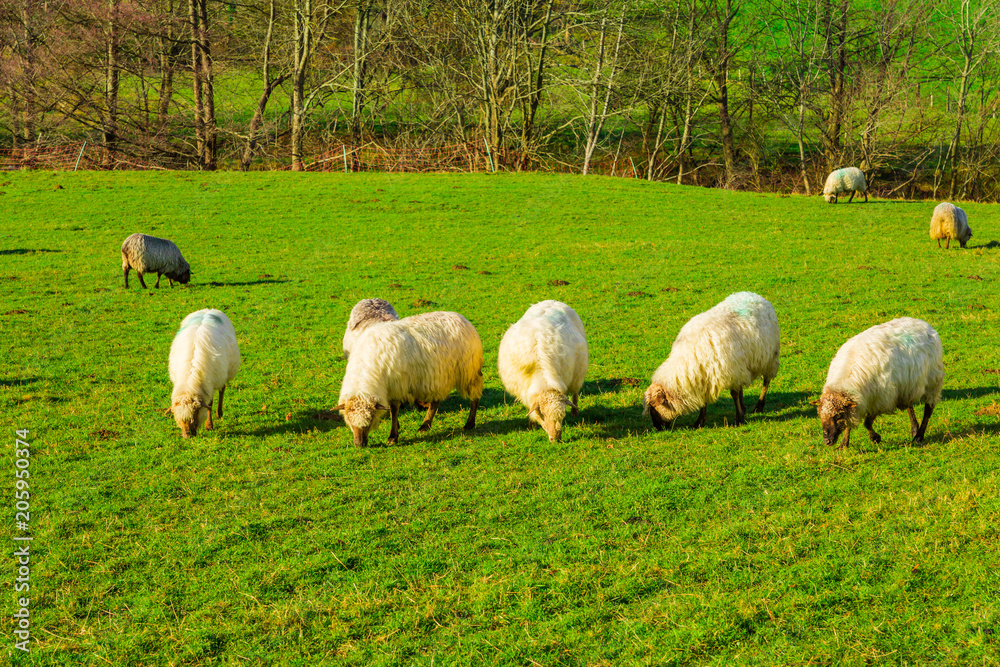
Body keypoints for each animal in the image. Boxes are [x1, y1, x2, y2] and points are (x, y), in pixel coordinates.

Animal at [168, 309, 241, 438]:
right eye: (179, 418)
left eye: (195, 413)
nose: (187, 436)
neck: (189, 379)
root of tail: (208, 309)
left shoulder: (210, 384)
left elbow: (210, 404)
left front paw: (209, 426)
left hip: (224, 372)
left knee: (222, 389)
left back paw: (219, 413)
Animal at [335, 311, 483, 446]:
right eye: (348, 421)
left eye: (370, 420)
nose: (359, 444)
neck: (367, 365)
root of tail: (461, 317)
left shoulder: (397, 385)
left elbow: (394, 410)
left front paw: (393, 436)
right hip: (438, 377)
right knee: (435, 402)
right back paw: (426, 426)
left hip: (469, 371)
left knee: (475, 397)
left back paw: (469, 423)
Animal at [497, 300, 588, 442]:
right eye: (543, 414)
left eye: (562, 415)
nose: (556, 439)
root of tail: (552, 301)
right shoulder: (523, 389)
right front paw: (532, 425)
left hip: (578, 372)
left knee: (575, 392)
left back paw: (575, 412)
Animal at [643, 292, 780, 429]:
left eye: (654, 407)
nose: (657, 428)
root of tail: (753, 294)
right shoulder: (705, 377)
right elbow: (705, 400)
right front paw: (700, 421)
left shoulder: (729, 371)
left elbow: (734, 394)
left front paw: (739, 419)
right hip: (741, 365)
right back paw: (744, 406)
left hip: (769, 359)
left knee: (766, 382)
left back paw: (759, 406)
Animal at [817, 317, 943, 450]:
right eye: (820, 416)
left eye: (838, 416)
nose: (827, 441)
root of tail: (923, 323)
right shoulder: (858, 404)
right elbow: (850, 424)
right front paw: (843, 444)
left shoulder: (880, 400)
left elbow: (867, 423)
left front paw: (875, 438)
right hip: (907, 384)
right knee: (909, 405)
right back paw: (914, 428)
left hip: (933, 380)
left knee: (928, 410)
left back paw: (919, 436)